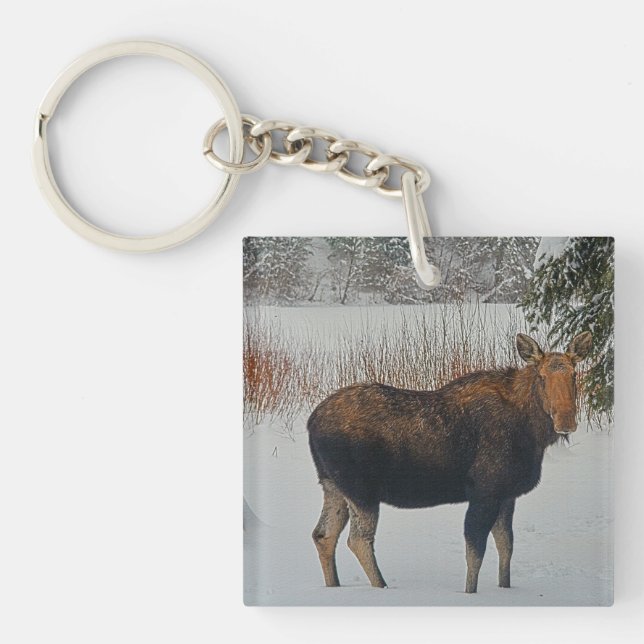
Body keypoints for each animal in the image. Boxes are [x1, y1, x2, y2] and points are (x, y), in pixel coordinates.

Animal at [307, 331, 592, 593]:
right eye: (541, 377)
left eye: (574, 375)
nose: (566, 421)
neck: (532, 434)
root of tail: (311, 422)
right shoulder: (485, 491)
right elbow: (475, 551)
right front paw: (471, 593)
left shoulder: (507, 493)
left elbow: (506, 546)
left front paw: (505, 588)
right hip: (361, 489)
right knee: (358, 540)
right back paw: (382, 586)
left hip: (332, 485)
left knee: (323, 534)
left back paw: (334, 586)